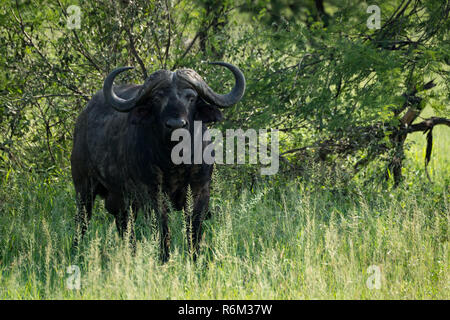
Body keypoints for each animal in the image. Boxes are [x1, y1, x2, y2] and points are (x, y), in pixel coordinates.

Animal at [71, 61, 246, 262]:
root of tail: (82, 118)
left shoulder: (201, 190)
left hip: (123, 200)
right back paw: (76, 253)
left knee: (125, 227)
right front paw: (164, 259)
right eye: (157, 98)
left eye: (191, 97)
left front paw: (194, 259)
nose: (176, 124)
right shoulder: (151, 193)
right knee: (82, 222)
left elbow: (194, 228)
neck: (176, 161)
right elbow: (163, 229)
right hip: (84, 188)